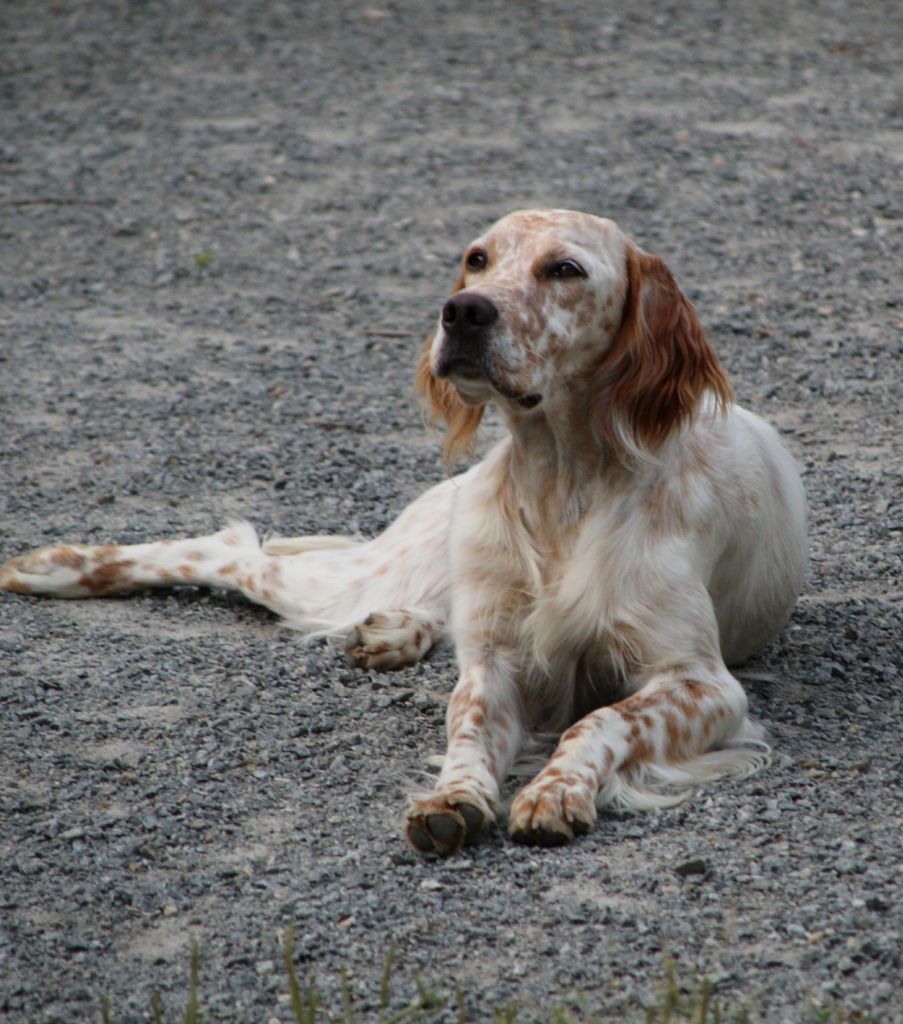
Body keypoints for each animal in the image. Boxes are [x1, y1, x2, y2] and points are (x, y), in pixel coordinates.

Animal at [0, 209, 802, 856]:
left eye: (565, 270)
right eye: (477, 258)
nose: (463, 311)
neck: (562, 485)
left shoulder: (700, 682)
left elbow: (599, 721)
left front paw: (554, 788)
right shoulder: (495, 664)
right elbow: (468, 726)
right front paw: (457, 796)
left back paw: (393, 632)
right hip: (376, 569)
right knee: (232, 552)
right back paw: (56, 565)